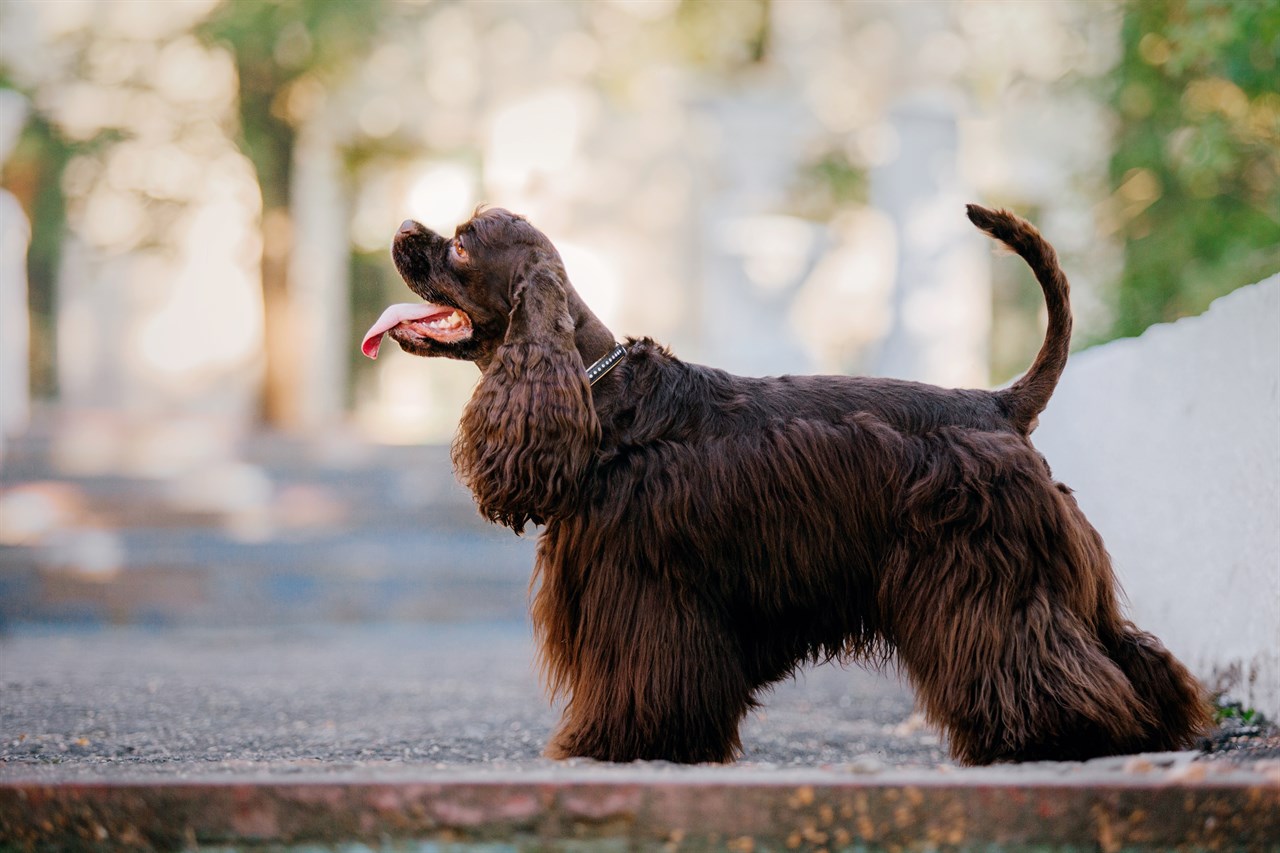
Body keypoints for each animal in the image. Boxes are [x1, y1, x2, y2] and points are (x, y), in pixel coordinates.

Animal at [363, 206, 1208, 763]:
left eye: (463, 243)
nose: (402, 226)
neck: (601, 395)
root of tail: (1000, 404)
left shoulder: (643, 588)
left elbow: (639, 678)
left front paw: (614, 746)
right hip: (1057, 573)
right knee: (1124, 649)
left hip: (990, 577)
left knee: (1038, 657)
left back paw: (1055, 738)